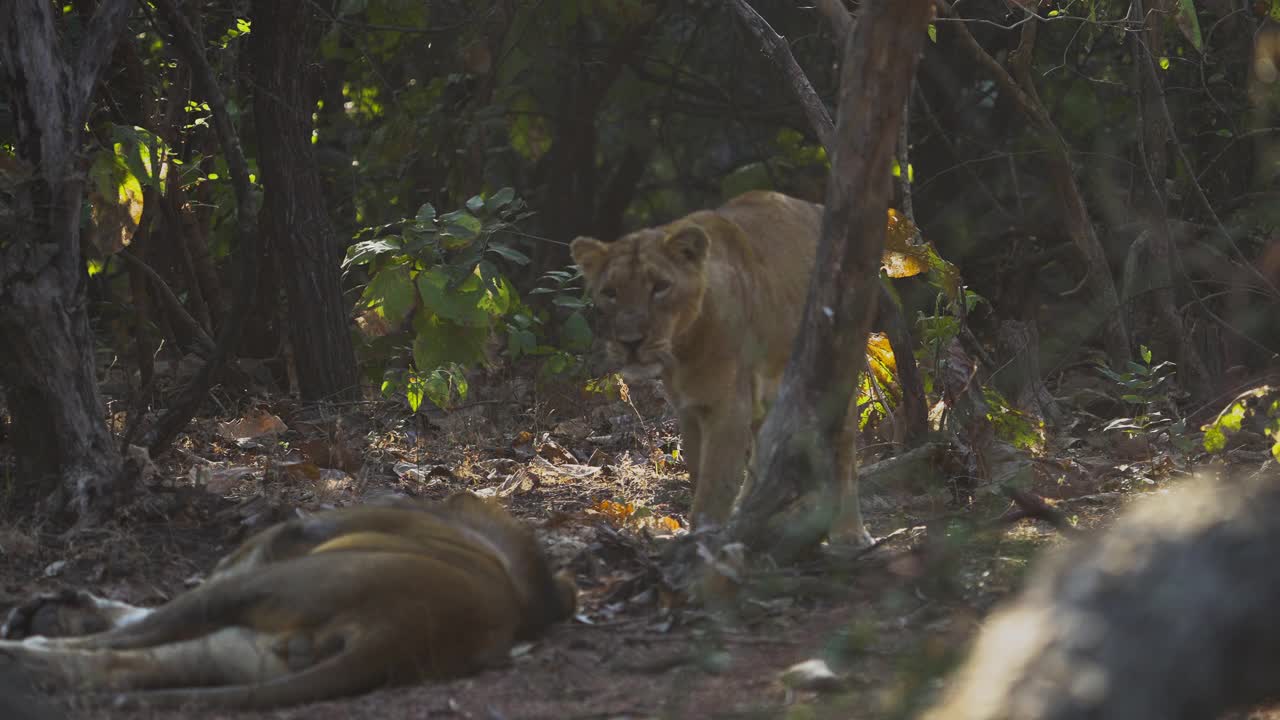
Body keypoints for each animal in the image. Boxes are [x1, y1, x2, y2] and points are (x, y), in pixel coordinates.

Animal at [0, 489, 576, 707]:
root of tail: (407, 627)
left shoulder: (268, 551)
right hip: (240, 649)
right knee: (115, 666)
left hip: (273, 584)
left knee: (119, 646)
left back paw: (22, 648)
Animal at [576, 188, 875, 545]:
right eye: (610, 292)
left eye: (660, 286)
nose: (630, 342)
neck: (684, 349)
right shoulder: (690, 409)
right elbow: (701, 474)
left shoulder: (727, 405)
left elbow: (715, 485)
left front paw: (703, 542)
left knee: (844, 453)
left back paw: (849, 532)